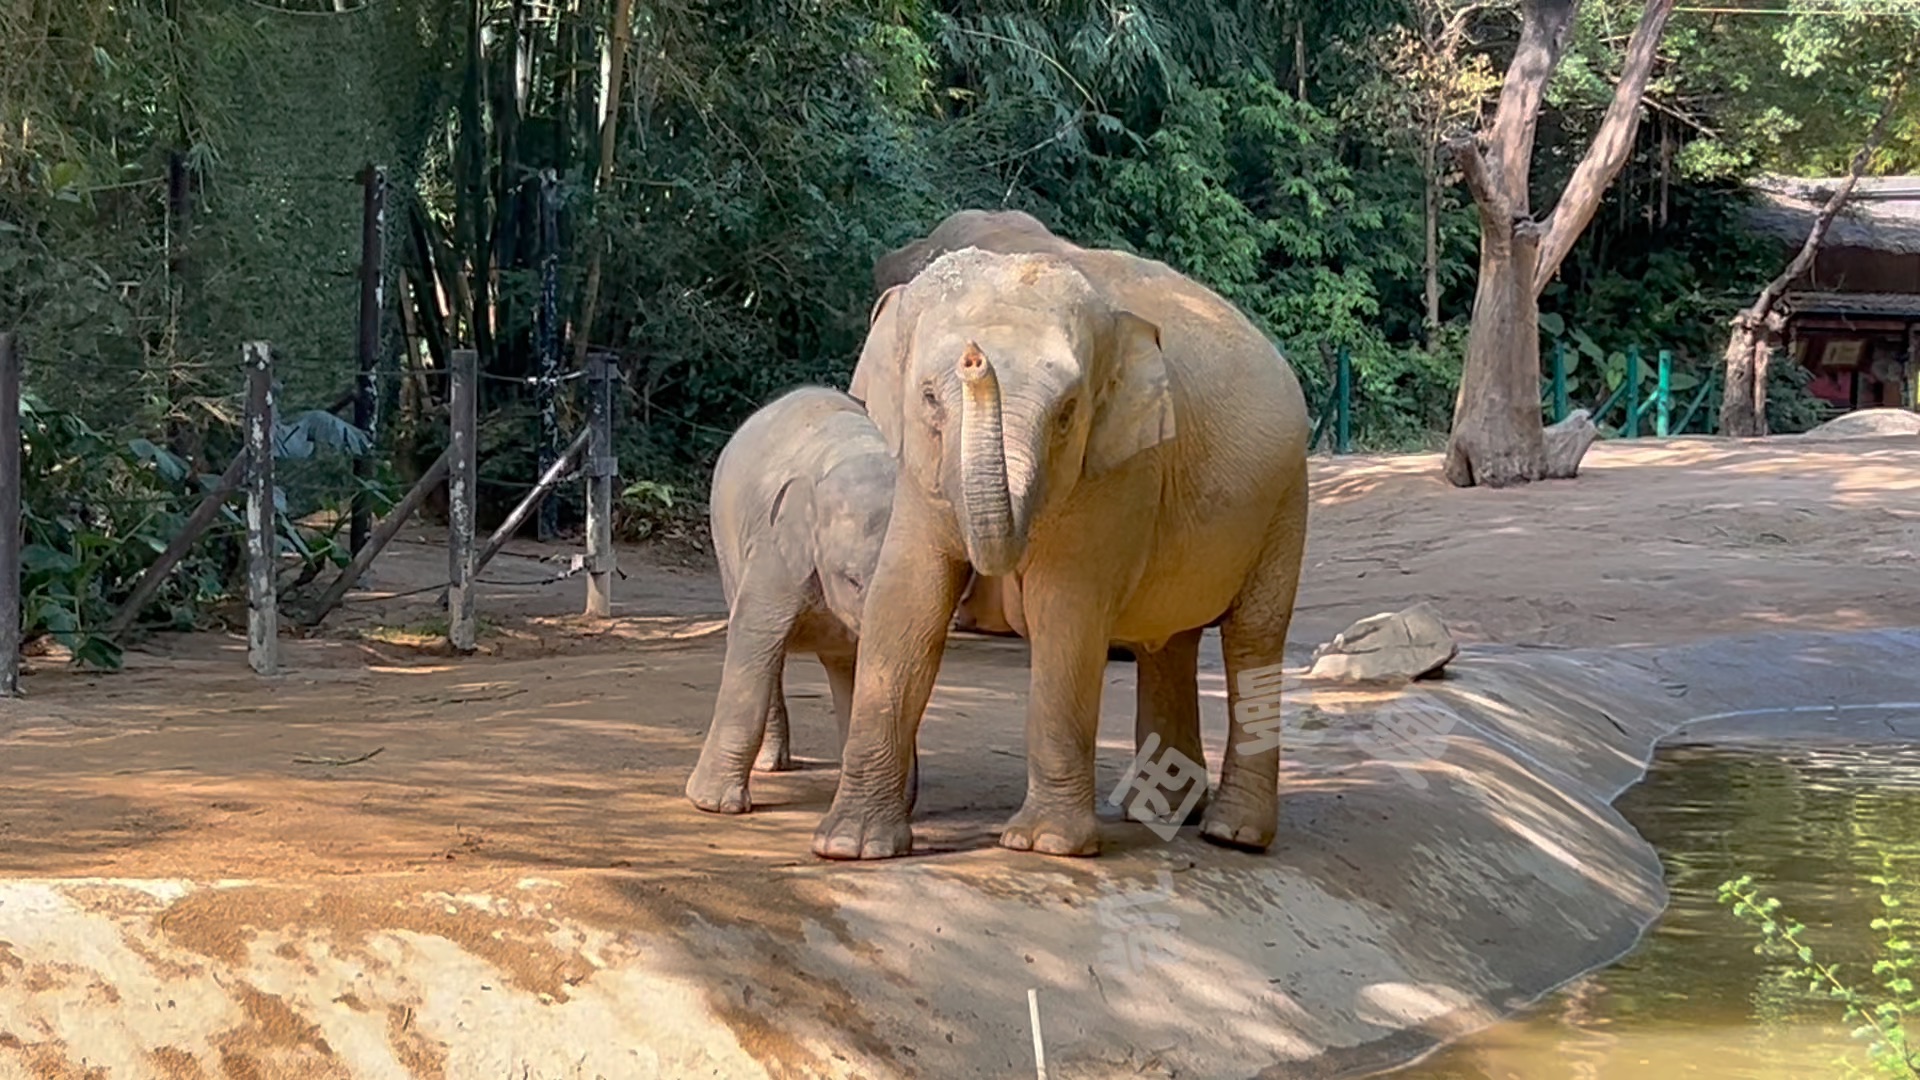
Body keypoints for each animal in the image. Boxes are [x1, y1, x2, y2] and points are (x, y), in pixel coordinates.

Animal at [687, 382, 917, 810]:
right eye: (851, 579)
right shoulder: (773, 552)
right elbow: (754, 639)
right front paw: (714, 805)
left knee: (842, 663)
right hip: (725, 546)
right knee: (766, 651)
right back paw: (770, 766)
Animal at [817, 219, 1313, 857]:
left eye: (1067, 412)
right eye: (927, 397)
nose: (975, 359)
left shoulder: (1121, 469)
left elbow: (1067, 611)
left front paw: (1043, 844)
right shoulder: (918, 473)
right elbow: (907, 599)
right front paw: (850, 846)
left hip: (1287, 498)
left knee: (1252, 638)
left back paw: (1233, 834)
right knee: (1171, 643)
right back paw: (1156, 809)